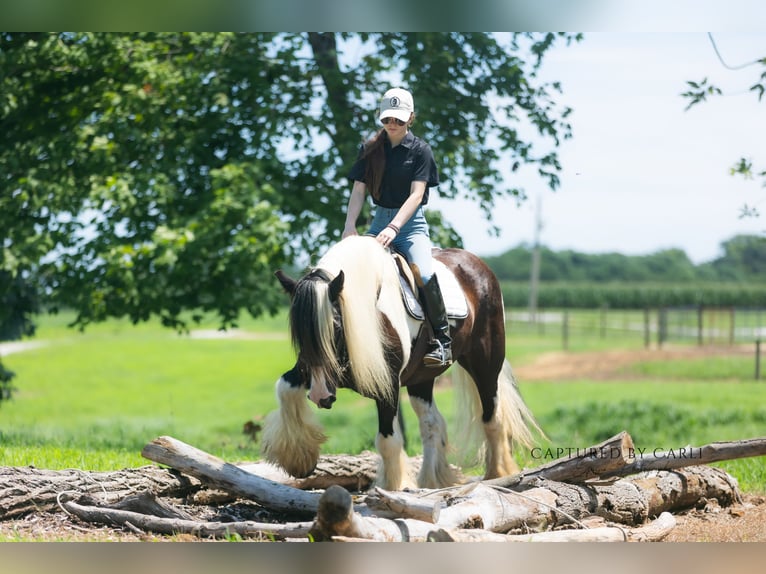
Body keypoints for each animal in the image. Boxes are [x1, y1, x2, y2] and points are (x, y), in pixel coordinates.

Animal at [261, 235, 542, 491]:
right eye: (298, 332)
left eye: (336, 327)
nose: (320, 396)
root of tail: (479, 266)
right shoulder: (323, 372)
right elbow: (284, 387)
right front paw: (298, 458)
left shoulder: (387, 383)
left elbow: (388, 440)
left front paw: (392, 490)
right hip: (422, 378)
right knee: (432, 424)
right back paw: (432, 480)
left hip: (485, 363)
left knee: (492, 417)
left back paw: (497, 474)